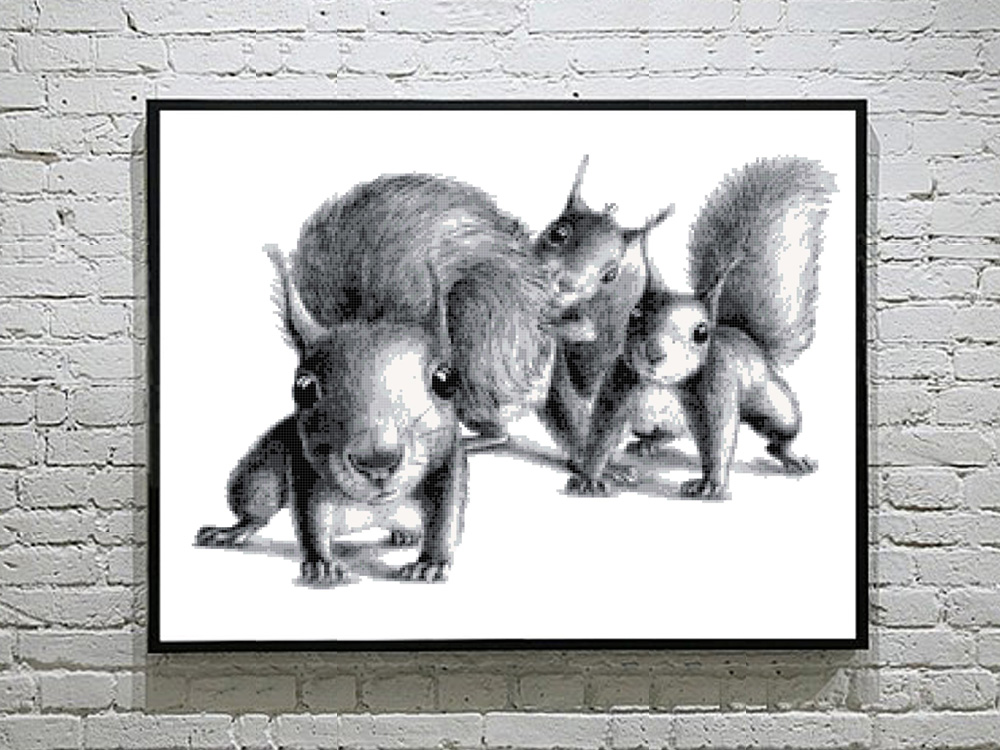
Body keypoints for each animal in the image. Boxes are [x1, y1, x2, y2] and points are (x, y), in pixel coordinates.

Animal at [565, 156, 837, 497]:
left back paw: (791, 456)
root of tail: (744, 337)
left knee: (781, 431)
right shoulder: (619, 387)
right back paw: (647, 444)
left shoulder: (716, 389)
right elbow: (601, 434)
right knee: (663, 433)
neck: (662, 384)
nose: (654, 354)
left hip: (772, 402)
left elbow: (718, 440)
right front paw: (589, 477)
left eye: (701, 333)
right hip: (649, 421)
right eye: (635, 314)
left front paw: (710, 484)